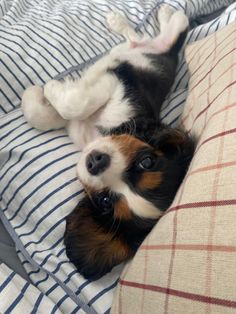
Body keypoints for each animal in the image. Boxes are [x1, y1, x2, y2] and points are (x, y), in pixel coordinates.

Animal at [21, 6, 195, 278]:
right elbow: (54, 113)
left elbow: (73, 105)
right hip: (138, 50)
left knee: (172, 27)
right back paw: (136, 18)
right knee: (153, 32)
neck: (98, 133)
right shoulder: (112, 88)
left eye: (105, 201)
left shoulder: (113, 84)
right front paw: (37, 96)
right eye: (147, 161)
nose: (95, 162)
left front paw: (47, 88)